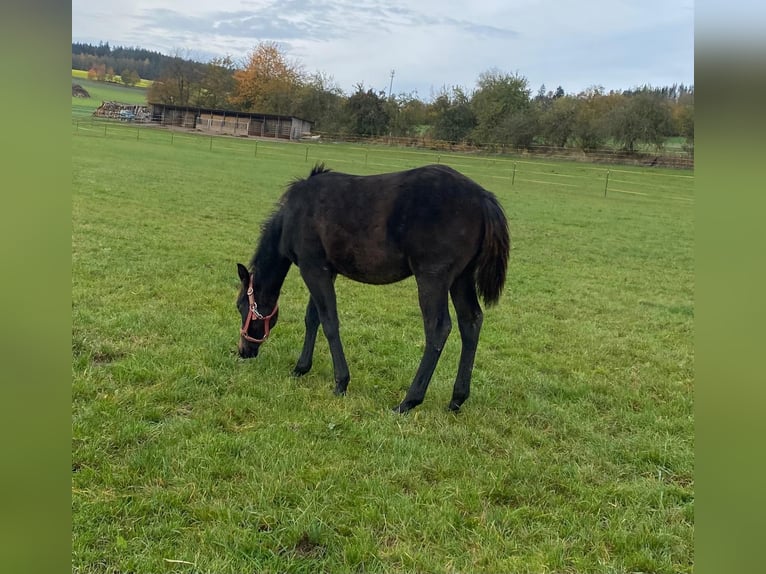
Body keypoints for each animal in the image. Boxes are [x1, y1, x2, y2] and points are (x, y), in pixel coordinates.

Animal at [234, 162, 510, 414]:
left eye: (240, 306)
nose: (243, 351)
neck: (294, 215)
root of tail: (483, 198)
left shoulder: (313, 268)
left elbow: (329, 322)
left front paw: (341, 383)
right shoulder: (327, 270)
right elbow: (313, 318)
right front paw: (301, 368)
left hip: (433, 279)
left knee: (438, 328)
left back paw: (409, 401)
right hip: (461, 279)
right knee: (470, 322)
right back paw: (456, 399)